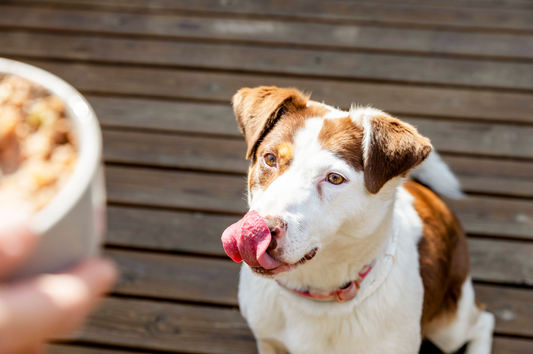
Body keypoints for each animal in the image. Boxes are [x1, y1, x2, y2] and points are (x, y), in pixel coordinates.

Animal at [218, 86, 492, 354]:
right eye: (270, 159)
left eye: (335, 178)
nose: (260, 231)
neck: (318, 295)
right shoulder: (269, 341)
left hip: (451, 327)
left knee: (483, 321)